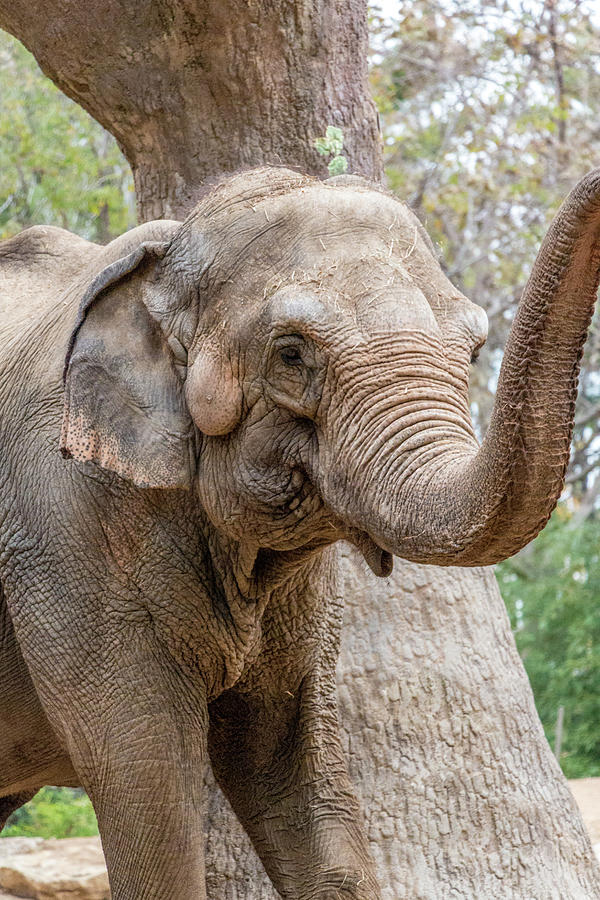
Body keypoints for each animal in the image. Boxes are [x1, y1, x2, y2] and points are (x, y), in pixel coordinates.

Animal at [0, 163, 596, 900]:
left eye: (474, 349)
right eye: (290, 354)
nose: (595, 178)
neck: (167, 256)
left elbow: (289, 770)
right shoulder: (60, 526)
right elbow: (145, 775)